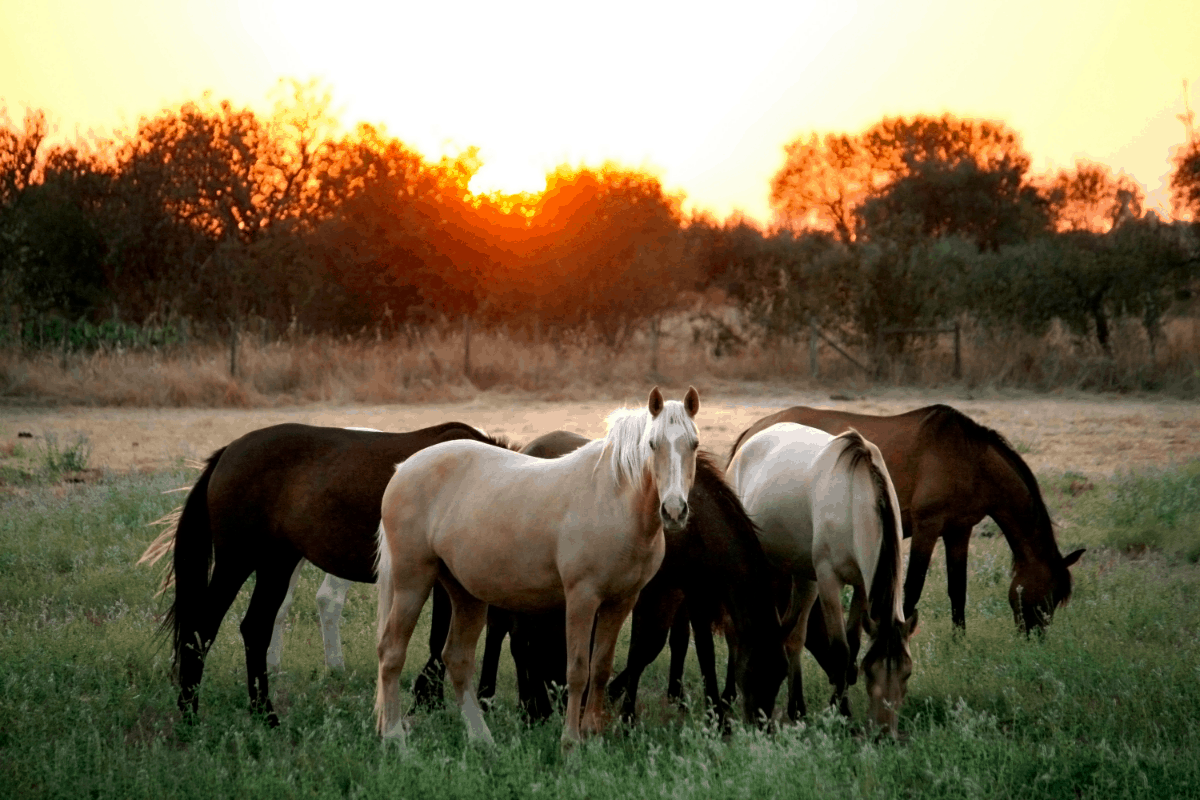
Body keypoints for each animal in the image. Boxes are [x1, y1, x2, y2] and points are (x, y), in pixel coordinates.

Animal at [163, 422, 511, 724]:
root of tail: (228, 452)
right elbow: (440, 636)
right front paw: (432, 698)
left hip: (277, 564)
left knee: (255, 628)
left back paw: (265, 714)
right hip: (237, 561)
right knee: (203, 628)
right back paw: (190, 712)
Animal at [376, 388, 700, 753]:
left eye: (694, 444)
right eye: (652, 444)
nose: (674, 511)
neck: (613, 499)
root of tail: (403, 469)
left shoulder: (621, 602)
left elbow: (601, 668)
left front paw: (593, 737)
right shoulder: (582, 598)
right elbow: (578, 671)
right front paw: (570, 743)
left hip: (465, 592)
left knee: (457, 659)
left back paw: (482, 740)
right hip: (412, 581)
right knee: (391, 652)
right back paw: (395, 739)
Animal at [724, 407, 1084, 633]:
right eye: (1048, 596)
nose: (1035, 636)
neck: (970, 459)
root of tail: (753, 431)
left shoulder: (959, 531)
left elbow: (958, 591)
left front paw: (959, 643)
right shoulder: (928, 528)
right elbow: (911, 590)